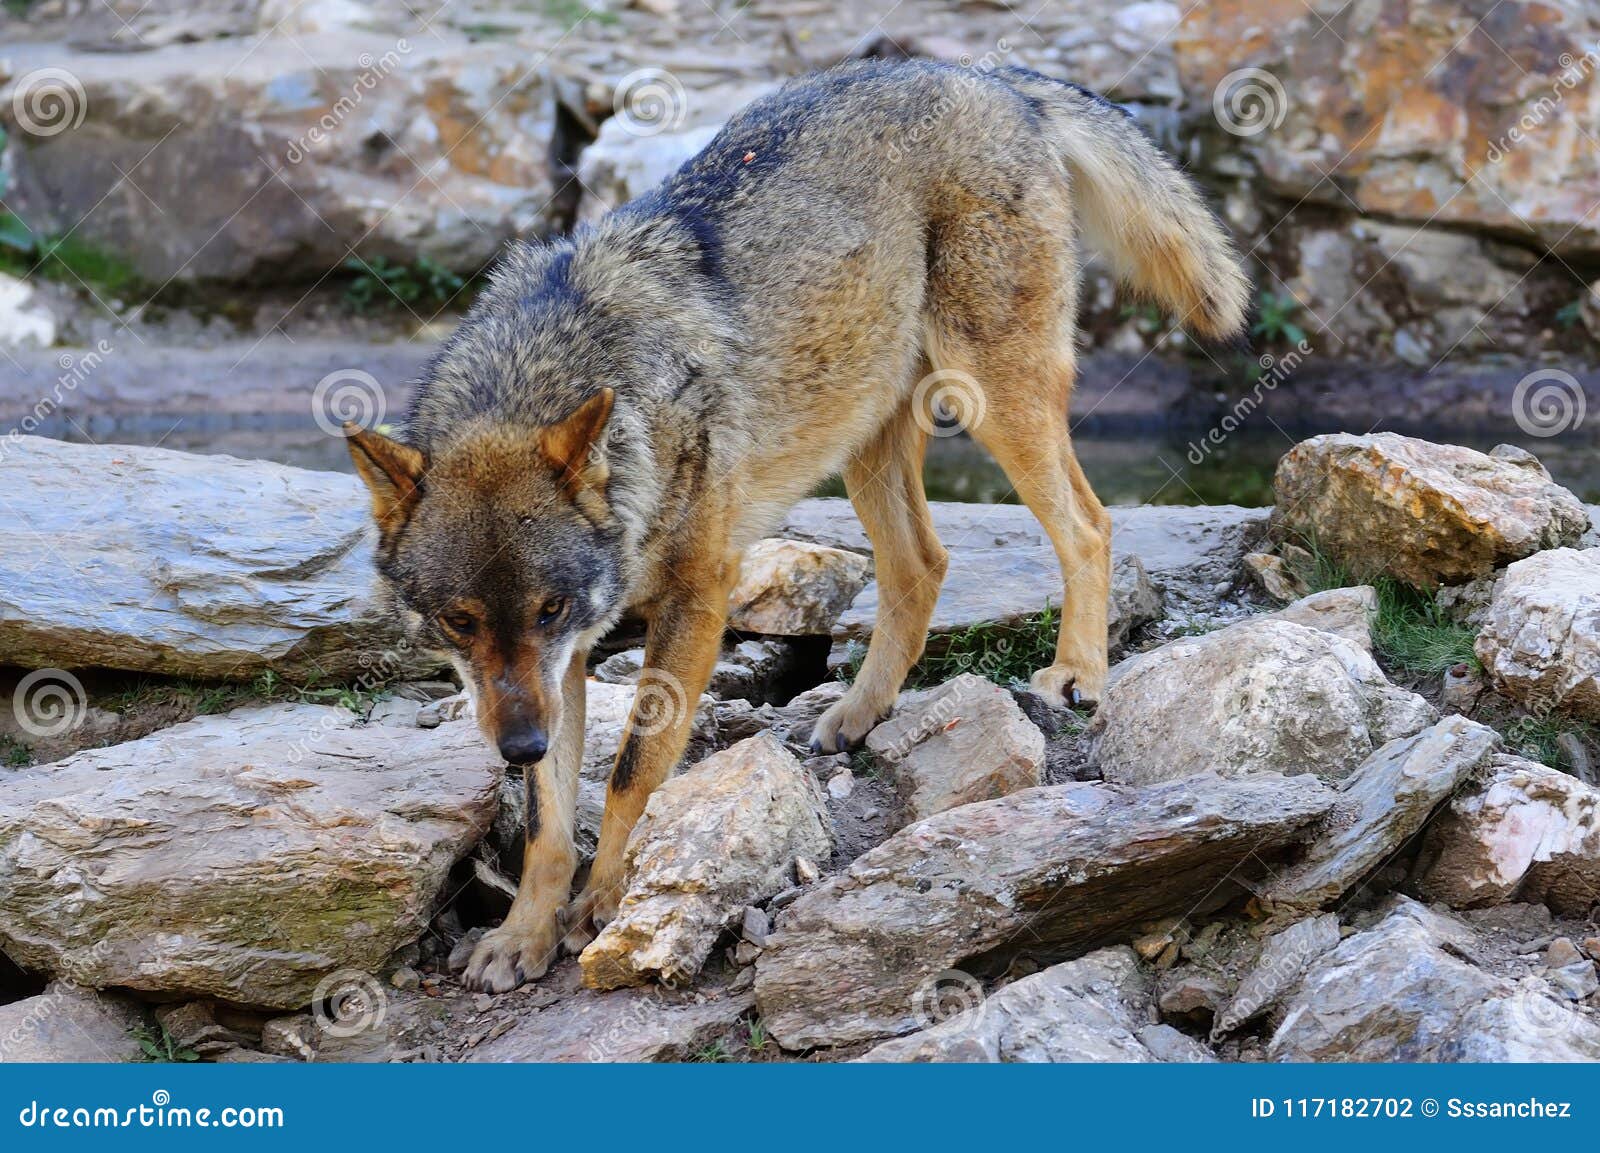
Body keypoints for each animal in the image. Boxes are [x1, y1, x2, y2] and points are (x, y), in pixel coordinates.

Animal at [347, 56, 1248, 991]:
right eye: (460, 623)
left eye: (547, 608)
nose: (518, 745)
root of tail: (987, 72)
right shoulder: (565, 665)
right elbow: (547, 819)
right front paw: (523, 931)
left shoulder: (693, 599)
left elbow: (633, 772)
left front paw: (606, 902)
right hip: (868, 439)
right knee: (924, 563)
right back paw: (858, 712)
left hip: (990, 397)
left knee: (1089, 524)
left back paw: (1077, 672)